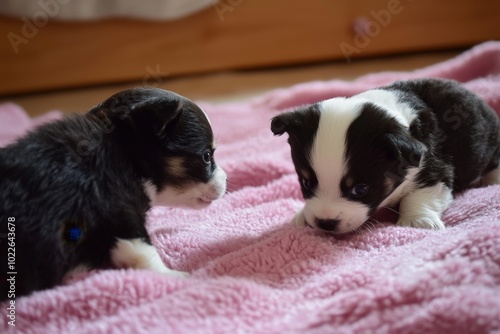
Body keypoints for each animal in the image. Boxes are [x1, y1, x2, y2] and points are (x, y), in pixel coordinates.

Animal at [0, 87, 228, 298]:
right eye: (207, 156)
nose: (227, 180)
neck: (127, 154)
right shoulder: (119, 211)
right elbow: (143, 249)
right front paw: (176, 276)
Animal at [272, 78, 498, 235]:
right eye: (306, 183)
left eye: (360, 189)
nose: (325, 223)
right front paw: (302, 216)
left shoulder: (435, 167)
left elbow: (420, 194)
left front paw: (417, 221)